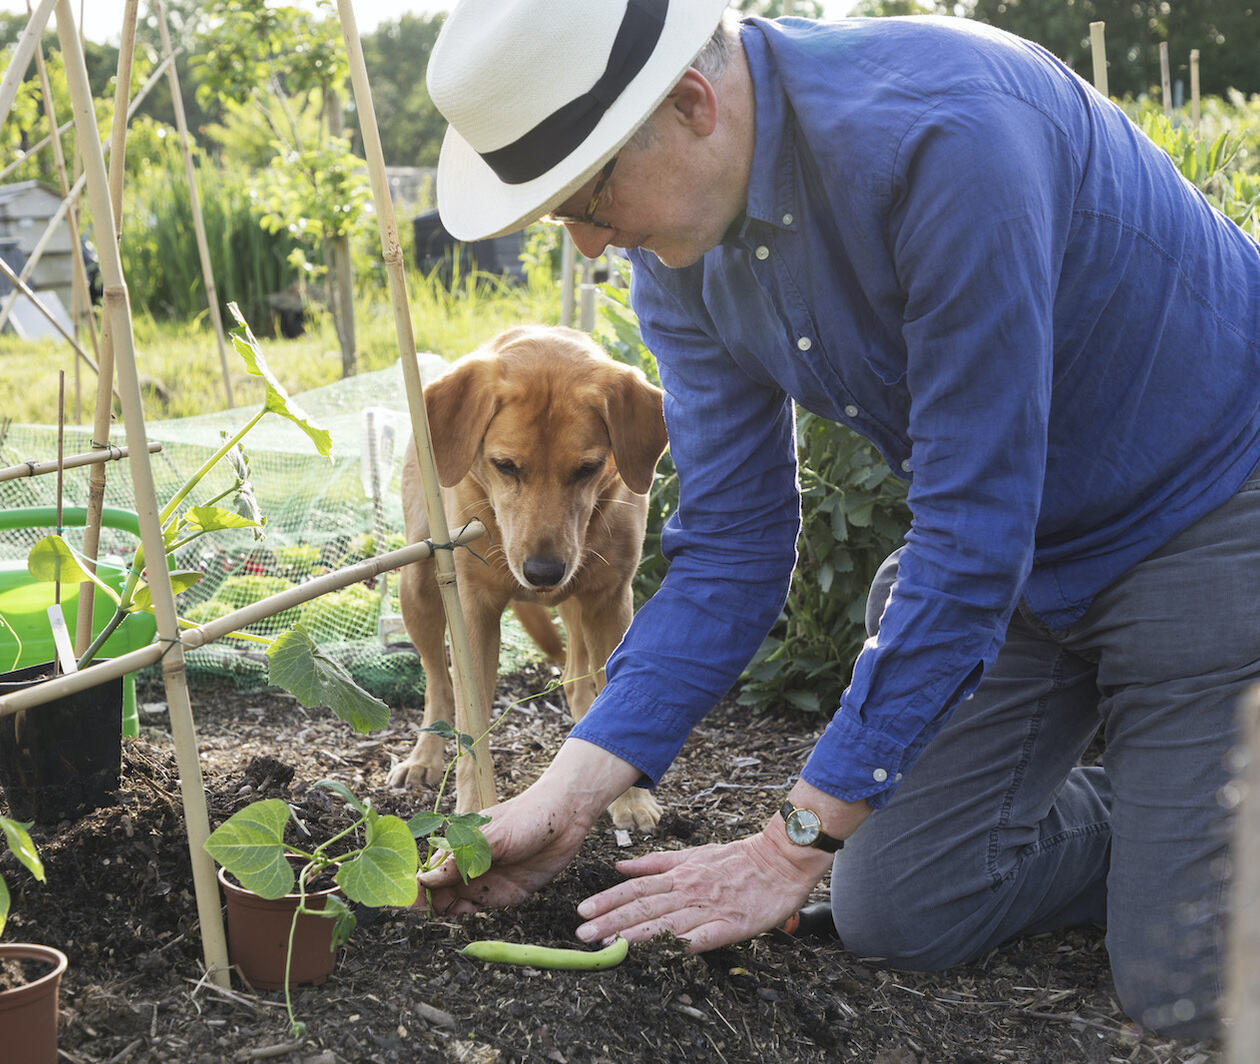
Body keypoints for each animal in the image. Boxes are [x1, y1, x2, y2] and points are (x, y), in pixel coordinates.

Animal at [388, 325, 675, 832]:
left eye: (587, 468)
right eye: (505, 466)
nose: (543, 572)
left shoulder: (610, 600)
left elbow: (611, 697)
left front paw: (629, 798)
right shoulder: (473, 613)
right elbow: (472, 729)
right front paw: (473, 812)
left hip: (581, 606)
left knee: (579, 678)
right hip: (419, 584)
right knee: (438, 686)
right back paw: (424, 757)